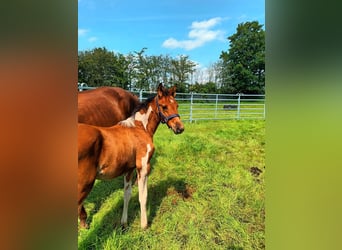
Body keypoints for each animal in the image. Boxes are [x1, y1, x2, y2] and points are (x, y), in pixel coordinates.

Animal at [78, 83, 184, 229]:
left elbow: (127, 194)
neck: (140, 127)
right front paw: (144, 225)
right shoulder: (143, 166)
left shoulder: (129, 169)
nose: (180, 128)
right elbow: (143, 195)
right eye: (164, 106)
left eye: (177, 105)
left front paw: (124, 222)